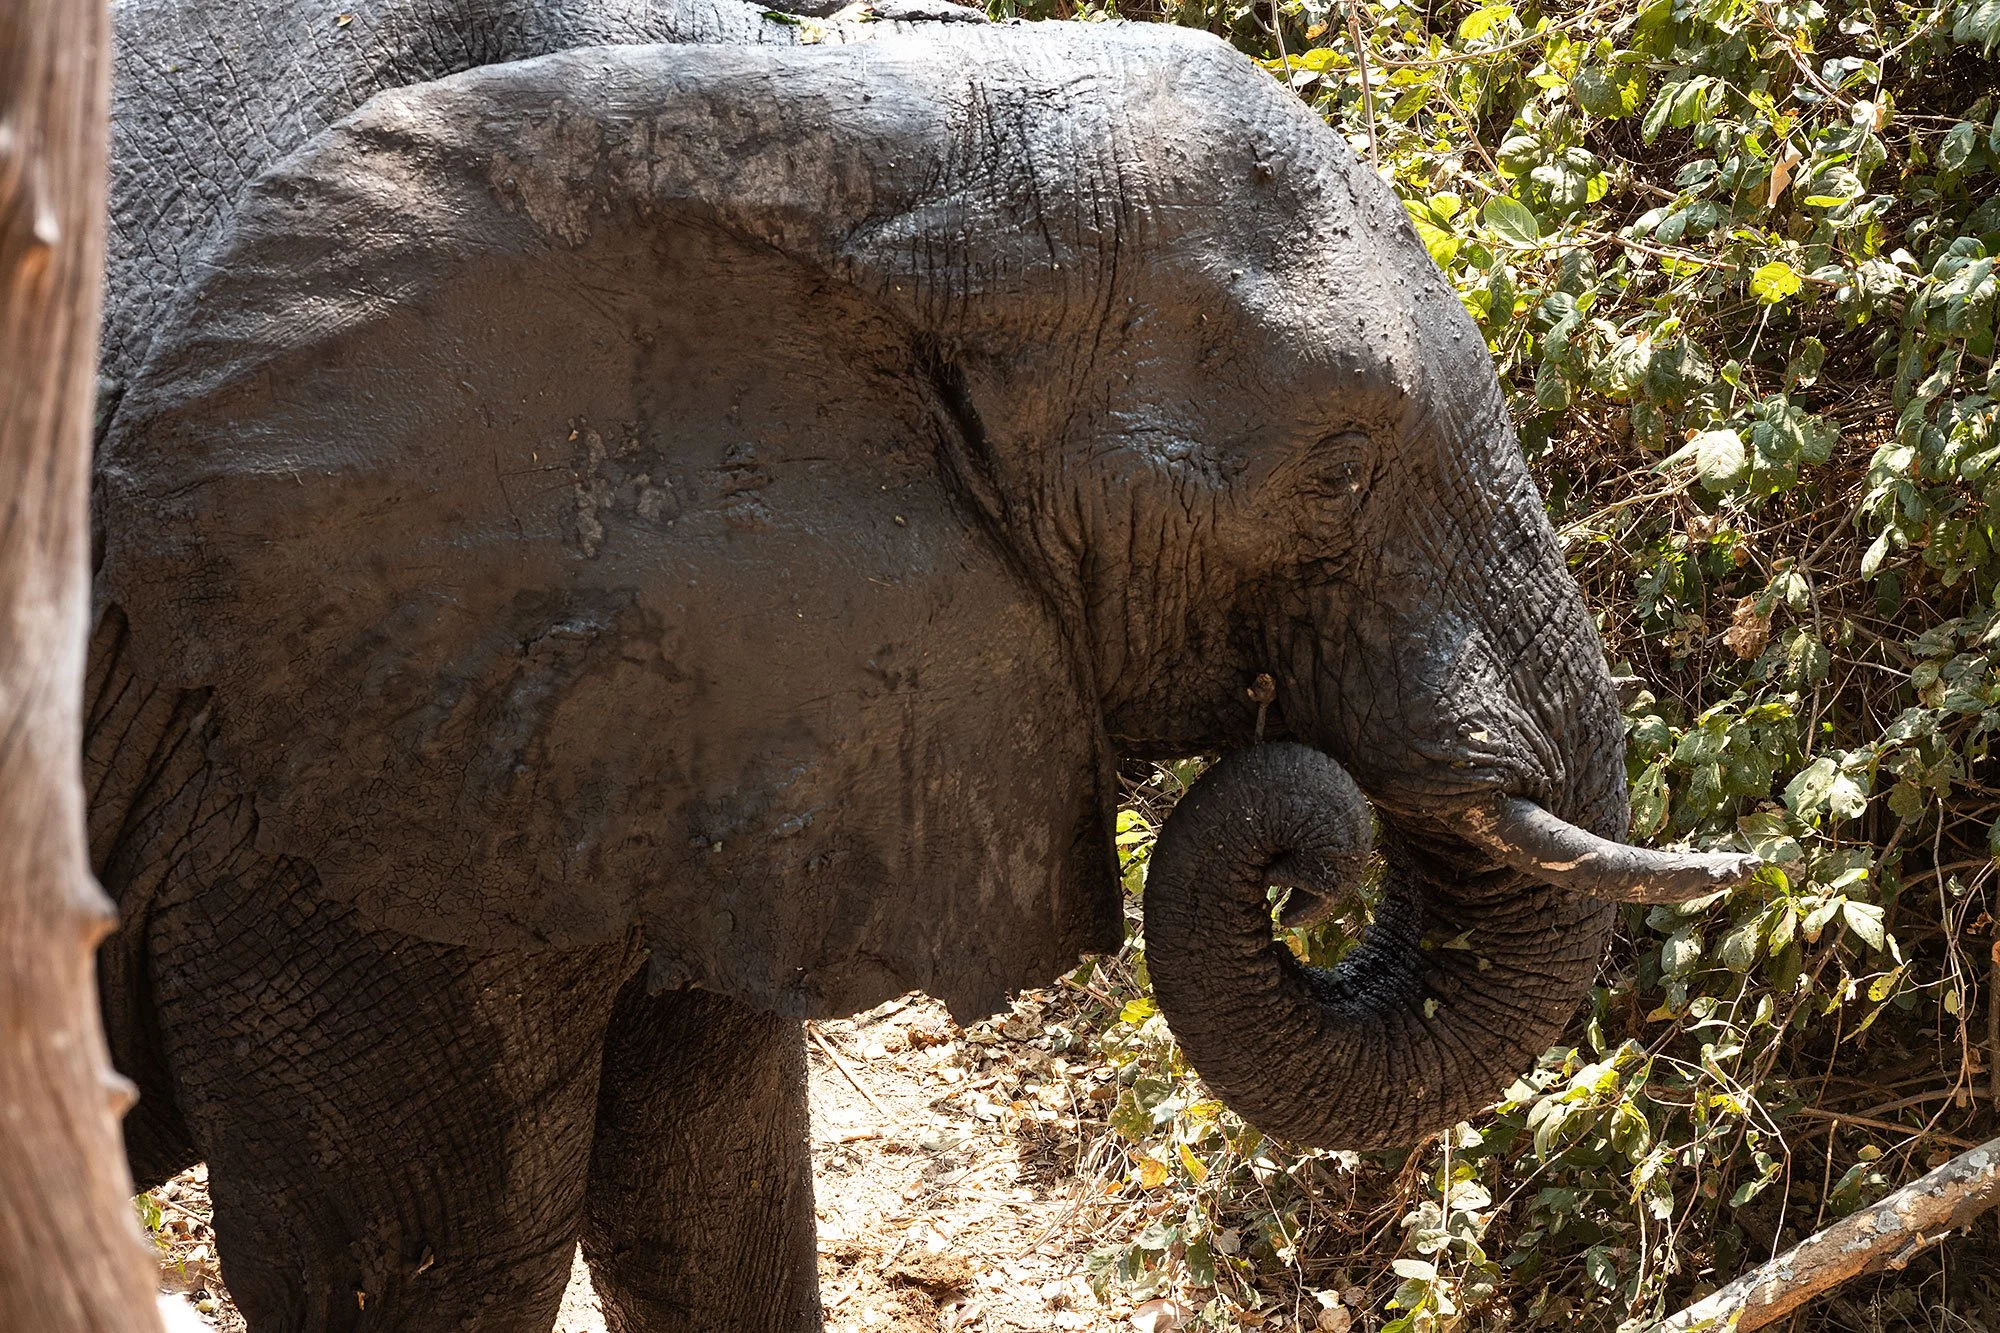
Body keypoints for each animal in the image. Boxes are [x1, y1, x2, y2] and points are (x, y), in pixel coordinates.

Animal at [86, 2, 1761, 1328]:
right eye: (1342, 469)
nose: (1309, 841)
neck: (832, 130)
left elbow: (712, 1199)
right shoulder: (310, 755)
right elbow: (434, 1259)